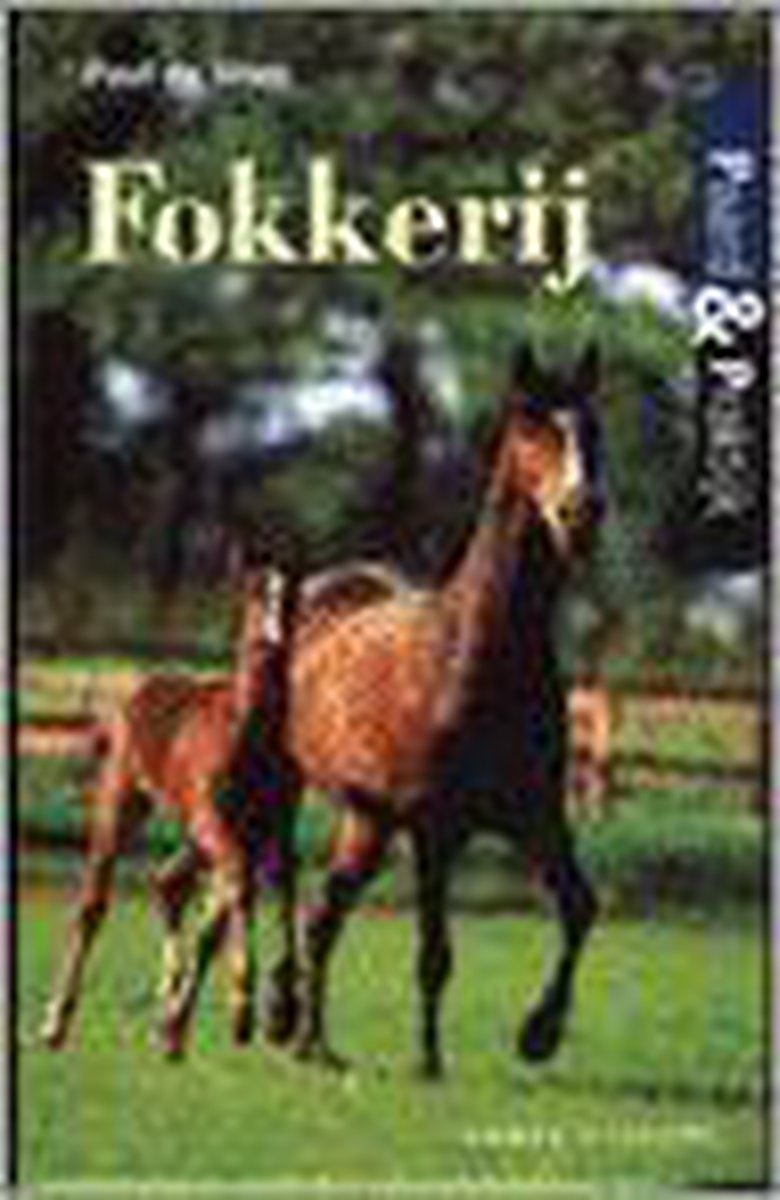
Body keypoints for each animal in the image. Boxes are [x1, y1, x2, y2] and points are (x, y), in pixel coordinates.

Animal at [39, 558, 300, 1058]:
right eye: (257, 593)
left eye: (293, 595)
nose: (276, 639)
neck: (248, 735)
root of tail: (138, 691)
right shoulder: (217, 823)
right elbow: (238, 892)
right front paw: (242, 1010)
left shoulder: (272, 831)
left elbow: (273, 899)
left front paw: (279, 1015)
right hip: (123, 803)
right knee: (94, 904)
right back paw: (56, 1023)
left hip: (195, 836)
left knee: (168, 882)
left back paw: (168, 1019)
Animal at [186, 340, 604, 1079]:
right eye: (531, 427)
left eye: (593, 427)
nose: (581, 512)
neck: (471, 658)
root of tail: (320, 589)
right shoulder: (436, 830)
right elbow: (434, 953)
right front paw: (431, 1062)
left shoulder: (537, 818)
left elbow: (579, 908)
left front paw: (539, 1033)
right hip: (297, 792)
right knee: (287, 883)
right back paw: (287, 1016)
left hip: (368, 821)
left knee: (325, 910)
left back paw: (312, 1038)